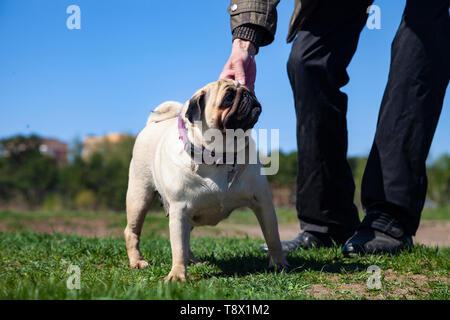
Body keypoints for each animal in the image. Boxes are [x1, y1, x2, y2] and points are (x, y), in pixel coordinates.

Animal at [125, 79, 286, 282]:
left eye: (249, 90)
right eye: (228, 97)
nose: (248, 95)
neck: (220, 156)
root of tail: (152, 124)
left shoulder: (263, 202)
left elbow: (273, 237)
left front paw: (279, 263)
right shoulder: (180, 210)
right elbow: (178, 247)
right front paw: (177, 274)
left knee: (186, 243)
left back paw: (193, 261)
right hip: (139, 197)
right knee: (132, 231)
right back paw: (137, 262)